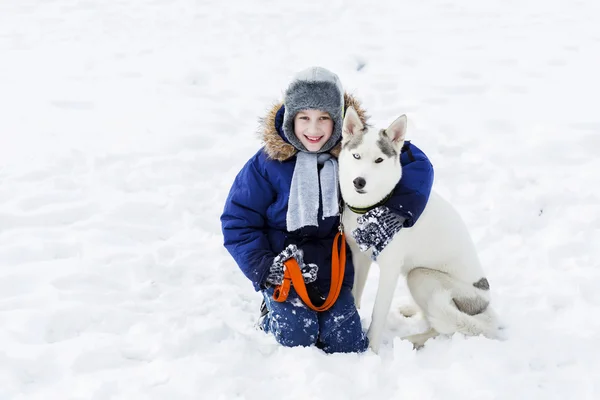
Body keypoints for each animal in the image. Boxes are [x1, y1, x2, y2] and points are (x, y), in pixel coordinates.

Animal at [338, 107, 502, 354]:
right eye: (356, 156)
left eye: (379, 160)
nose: (359, 181)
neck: (374, 207)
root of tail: (485, 303)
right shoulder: (360, 257)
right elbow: (355, 294)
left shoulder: (390, 269)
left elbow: (379, 314)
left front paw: (372, 352)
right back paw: (410, 310)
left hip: (420, 276)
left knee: (441, 326)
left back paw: (412, 340)